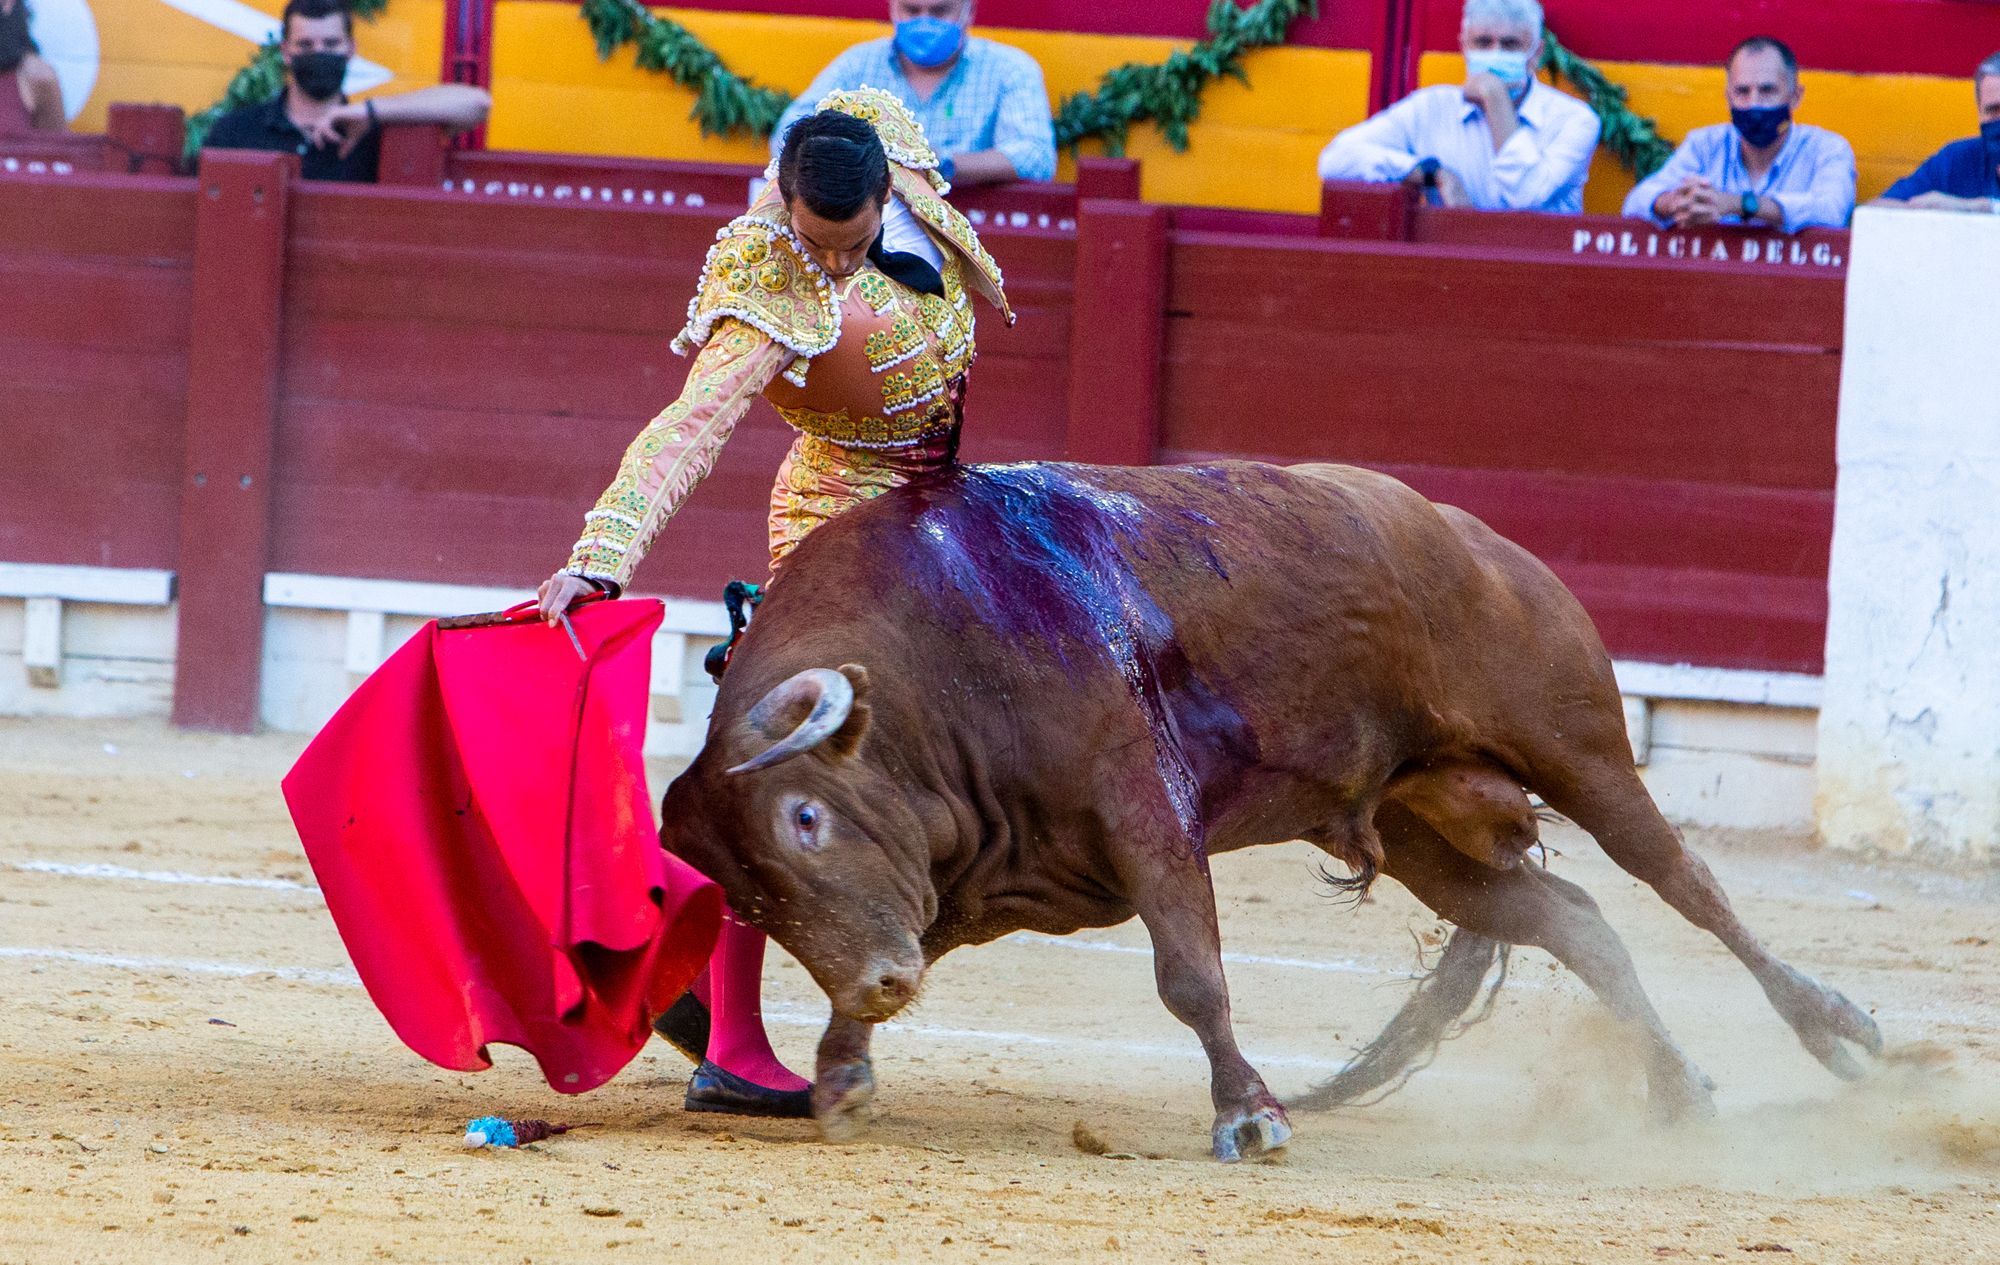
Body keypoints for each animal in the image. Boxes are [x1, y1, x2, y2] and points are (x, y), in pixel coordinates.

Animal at [664, 460, 1880, 1160]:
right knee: (1573, 919)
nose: (883, 979)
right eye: (745, 895)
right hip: (1423, 831)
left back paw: (1841, 1032)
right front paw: (842, 1069)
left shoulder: (1143, 806)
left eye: (806, 818)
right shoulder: (961, 881)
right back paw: (1678, 1089)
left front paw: (1250, 1113)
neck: (938, 663)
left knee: (1687, 884)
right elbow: (902, 940)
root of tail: (1480, 540)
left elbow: (1190, 972)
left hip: (1581, 749)